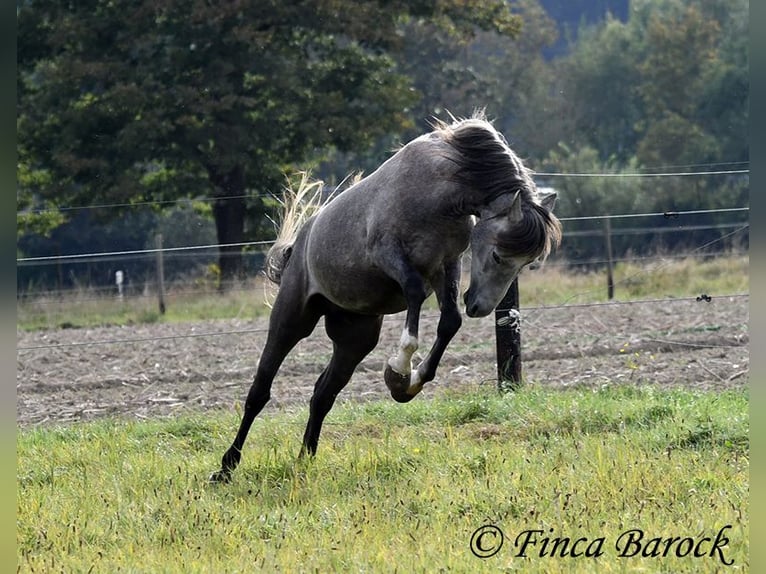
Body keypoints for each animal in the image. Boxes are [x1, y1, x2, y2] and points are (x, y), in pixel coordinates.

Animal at [210, 115, 564, 484]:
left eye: (528, 263)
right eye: (497, 254)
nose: (480, 307)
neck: (440, 189)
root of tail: (298, 248)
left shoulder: (446, 264)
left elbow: (449, 322)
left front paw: (406, 384)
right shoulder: (390, 256)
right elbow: (414, 294)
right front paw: (399, 369)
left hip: (354, 338)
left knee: (322, 395)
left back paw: (303, 460)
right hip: (290, 321)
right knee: (259, 391)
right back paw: (226, 466)